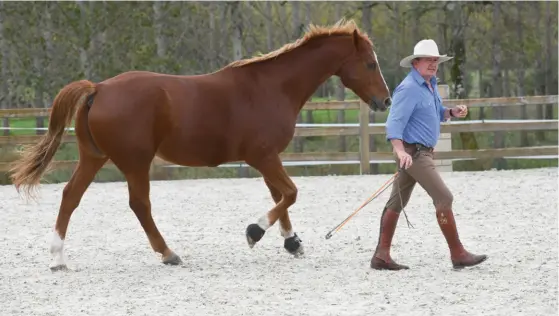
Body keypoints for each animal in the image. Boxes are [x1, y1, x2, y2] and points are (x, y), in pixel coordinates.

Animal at [9, 19, 394, 272]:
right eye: (370, 63)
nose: (386, 101)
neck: (271, 87)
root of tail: (98, 88)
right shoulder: (263, 156)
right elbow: (290, 193)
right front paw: (255, 232)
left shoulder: (267, 158)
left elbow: (281, 196)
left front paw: (292, 242)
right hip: (135, 162)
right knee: (139, 205)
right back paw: (168, 253)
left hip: (94, 157)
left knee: (70, 197)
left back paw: (58, 258)